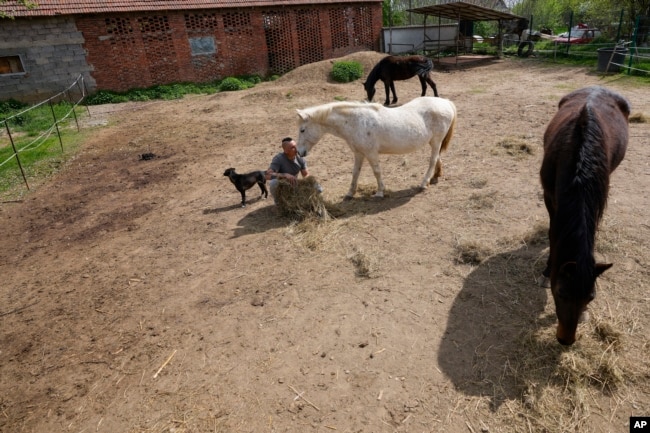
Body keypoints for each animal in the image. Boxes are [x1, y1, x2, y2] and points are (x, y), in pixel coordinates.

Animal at [296, 96, 454, 197]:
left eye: (302, 130)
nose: (299, 152)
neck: (356, 122)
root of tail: (446, 102)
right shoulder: (358, 153)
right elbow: (355, 173)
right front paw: (350, 193)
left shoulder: (371, 153)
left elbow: (377, 172)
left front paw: (380, 192)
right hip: (434, 142)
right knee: (437, 158)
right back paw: (436, 176)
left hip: (436, 141)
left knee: (432, 160)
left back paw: (424, 183)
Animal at [536, 86, 628, 346]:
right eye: (560, 292)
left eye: (591, 298)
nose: (566, 340)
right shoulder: (549, 196)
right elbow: (552, 233)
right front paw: (546, 271)